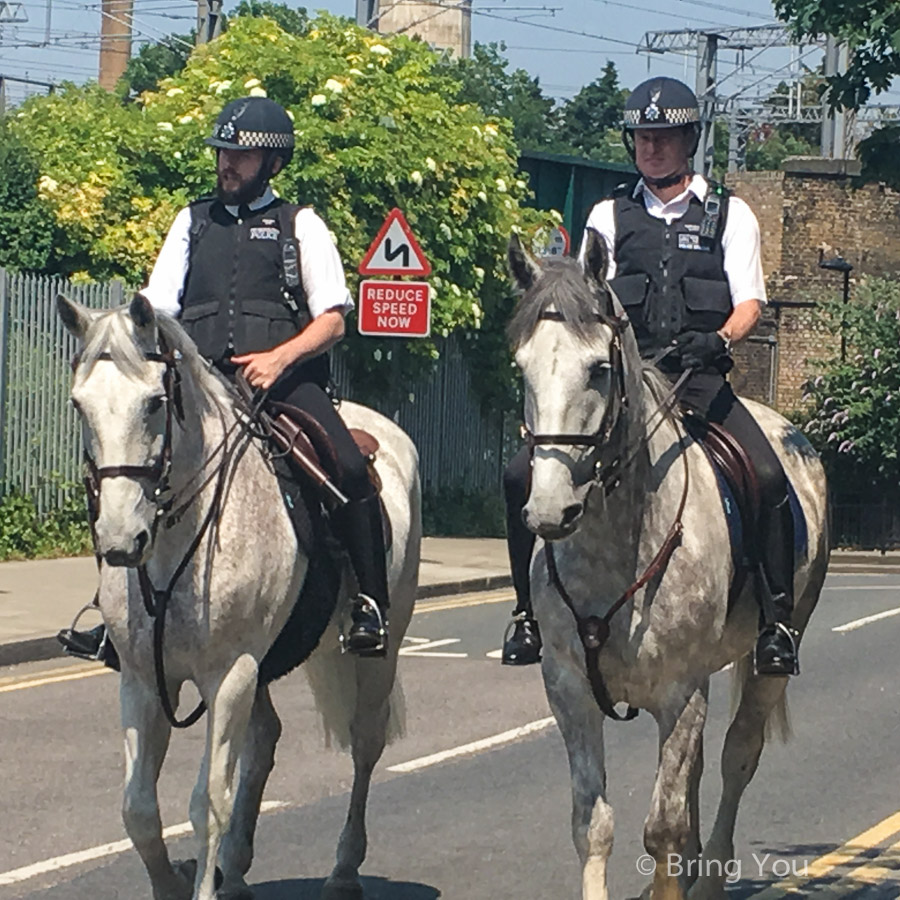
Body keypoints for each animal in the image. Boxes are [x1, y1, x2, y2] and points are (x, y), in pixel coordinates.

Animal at [57, 292, 422, 896]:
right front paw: (174, 880)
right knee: (266, 737)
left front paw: (201, 881)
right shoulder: (144, 681)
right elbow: (138, 809)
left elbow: (208, 803)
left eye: (155, 403)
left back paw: (344, 869)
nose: (119, 539)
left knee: (365, 743)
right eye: (79, 405)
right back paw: (237, 866)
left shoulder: (229, 675)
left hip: (378, 652)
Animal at [506, 234, 828, 900]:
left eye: (598, 369)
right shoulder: (569, 690)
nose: (549, 510)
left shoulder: (679, 692)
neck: (614, 547)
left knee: (736, 756)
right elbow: (594, 824)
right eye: (522, 367)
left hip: (769, 658)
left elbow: (663, 829)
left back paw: (710, 874)